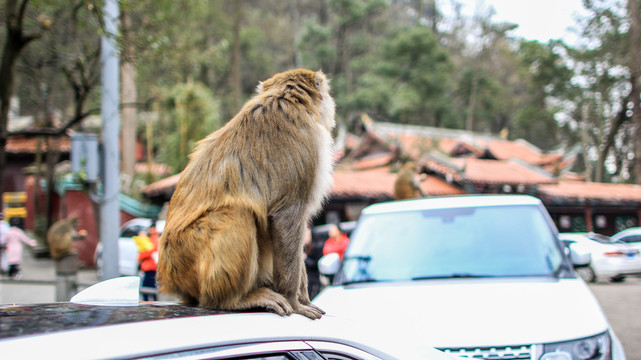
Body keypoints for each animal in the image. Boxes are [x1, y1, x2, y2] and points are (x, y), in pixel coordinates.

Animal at [158, 69, 336, 320]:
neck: (284, 99)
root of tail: (168, 278)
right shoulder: (308, 146)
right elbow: (287, 216)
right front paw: (295, 301)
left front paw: (303, 299)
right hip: (185, 254)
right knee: (237, 213)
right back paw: (233, 299)